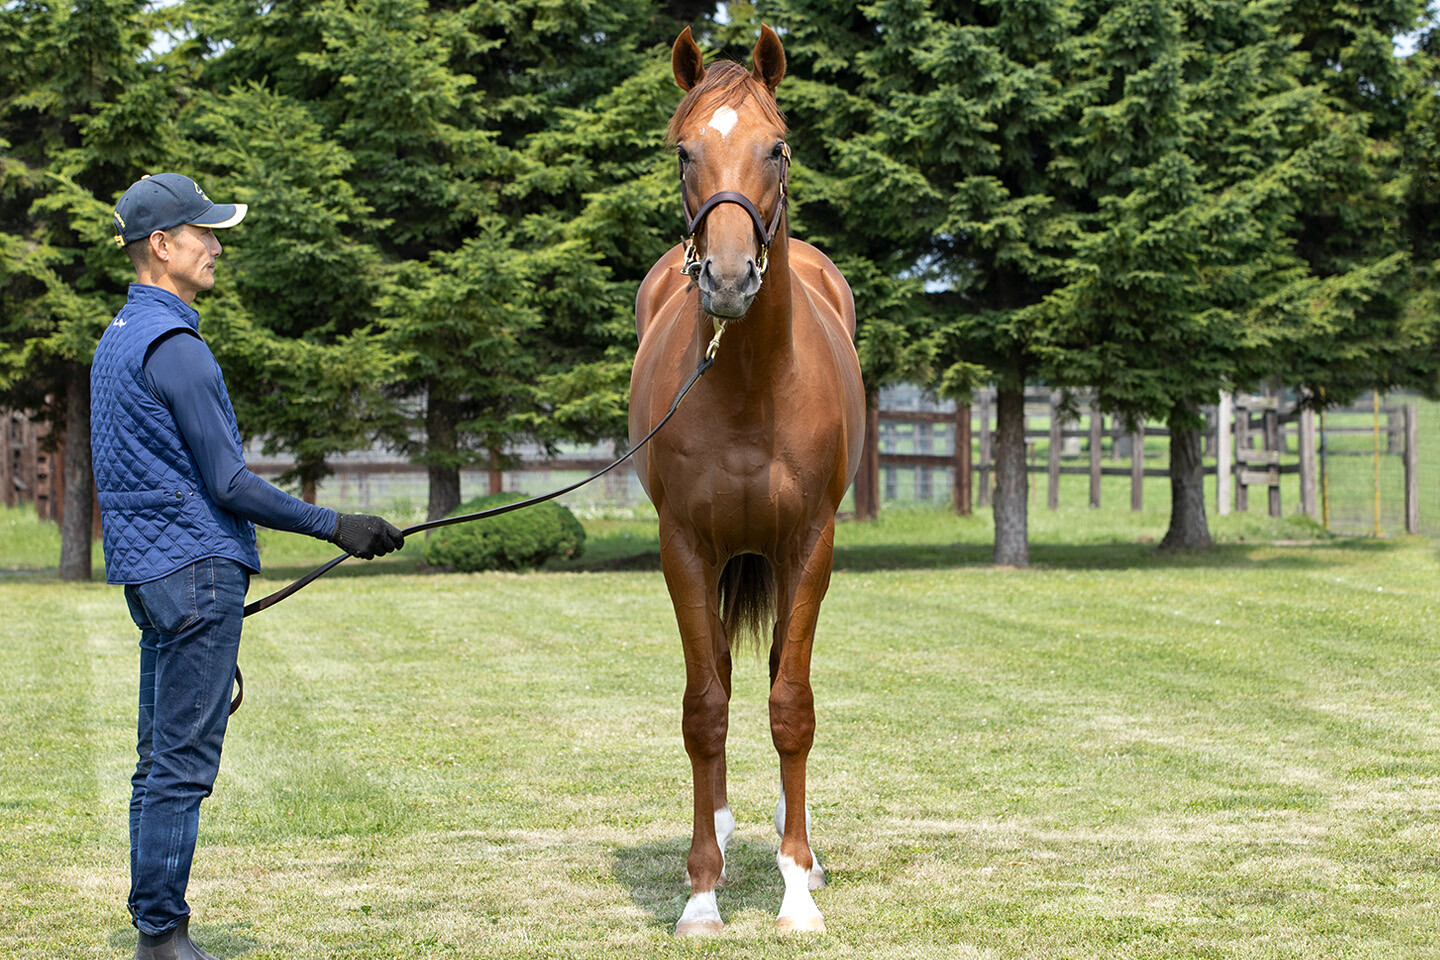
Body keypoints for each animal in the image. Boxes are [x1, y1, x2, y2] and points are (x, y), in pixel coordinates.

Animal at [624, 24, 858, 938]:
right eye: (684, 149)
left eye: (778, 145)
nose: (727, 279)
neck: (754, 384)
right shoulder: (685, 549)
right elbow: (704, 709)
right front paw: (701, 893)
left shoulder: (810, 547)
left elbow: (792, 706)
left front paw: (796, 890)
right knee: (722, 675)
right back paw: (721, 831)